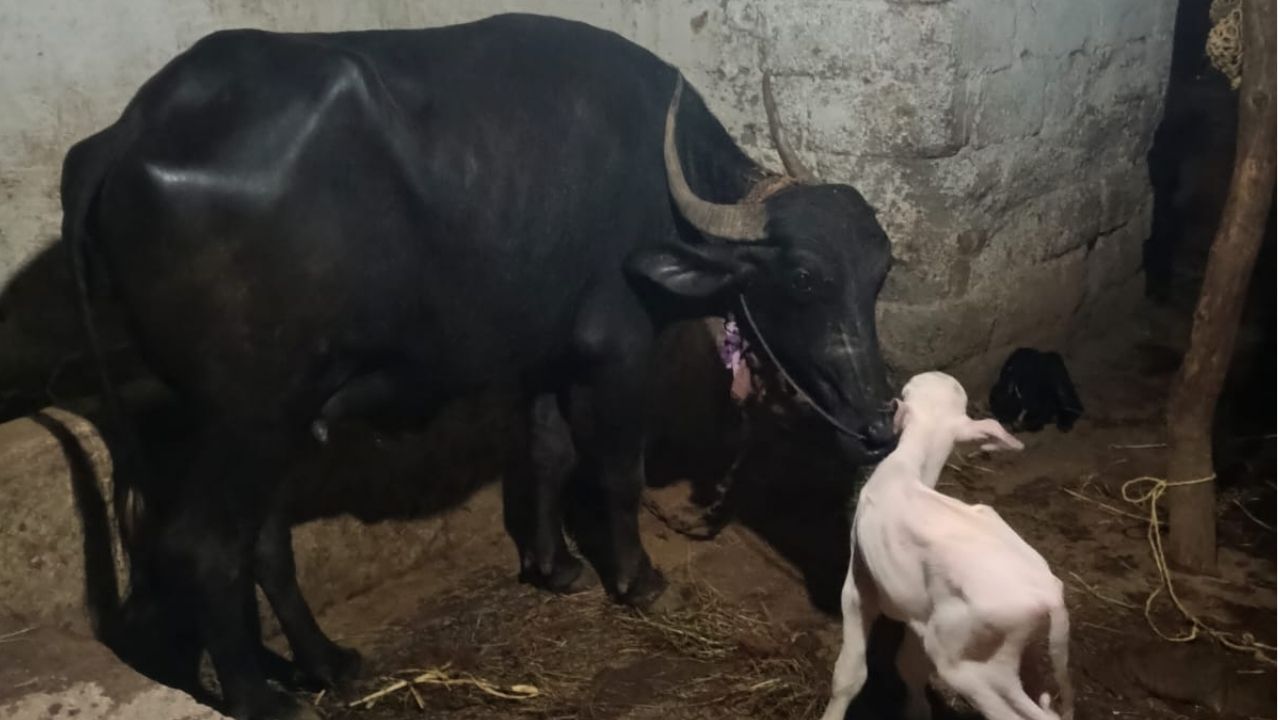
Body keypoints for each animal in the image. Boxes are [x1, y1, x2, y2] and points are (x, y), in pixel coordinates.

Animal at [61, 13, 897, 720]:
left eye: (879, 272)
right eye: (804, 279)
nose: (878, 423)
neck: (664, 198)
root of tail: (125, 134)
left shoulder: (545, 354)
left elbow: (549, 454)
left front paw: (555, 567)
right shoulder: (617, 350)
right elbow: (616, 470)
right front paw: (639, 580)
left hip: (265, 416)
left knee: (261, 541)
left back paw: (326, 662)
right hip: (248, 414)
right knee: (203, 545)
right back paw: (260, 698)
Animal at [821, 372, 1072, 720]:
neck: (909, 468)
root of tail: (1050, 597)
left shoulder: (860, 583)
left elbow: (849, 674)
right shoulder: (921, 617)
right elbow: (908, 667)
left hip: (969, 665)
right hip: (1011, 654)